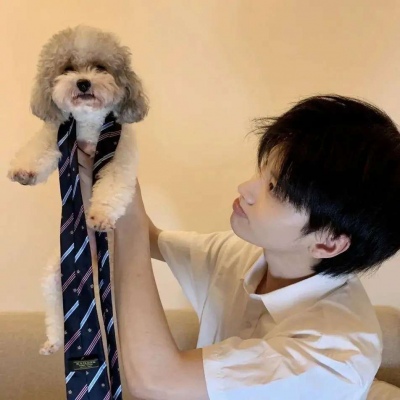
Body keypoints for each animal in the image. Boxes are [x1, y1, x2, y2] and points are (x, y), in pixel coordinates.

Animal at [7, 25, 148, 354]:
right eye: (68, 68)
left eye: (100, 67)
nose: (83, 82)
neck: (88, 125)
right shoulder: (55, 134)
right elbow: (39, 148)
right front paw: (24, 171)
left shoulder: (121, 157)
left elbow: (111, 185)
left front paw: (100, 215)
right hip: (54, 279)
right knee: (57, 314)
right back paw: (54, 342)